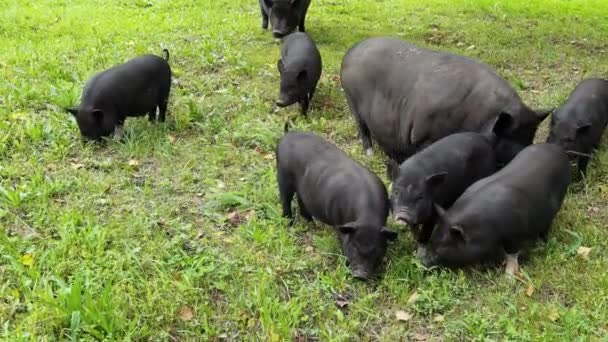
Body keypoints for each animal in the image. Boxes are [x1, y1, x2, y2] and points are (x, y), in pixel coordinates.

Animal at [276, 130, 400, 280]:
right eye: (354, 246)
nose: (360, 275)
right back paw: (289, 226)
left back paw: (312, 223)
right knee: (285, 201)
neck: (367, 218)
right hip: (283, 176)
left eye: (376, 249)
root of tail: (288, 134)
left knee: (301, 201)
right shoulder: (339, 223)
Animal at [340, 36, 552, 165]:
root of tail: (350, 52)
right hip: (351, 99)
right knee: (362, 128)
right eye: (503, 157)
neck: (480, 119)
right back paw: (369, 154)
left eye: (529, 142)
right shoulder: (421, 135)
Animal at [422, 142, 568, 276]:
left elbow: (512, 254)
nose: (423, 263)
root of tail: (558, 149)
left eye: (440, 250)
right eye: (432, 243)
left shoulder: (514, 235)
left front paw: (508, 276)